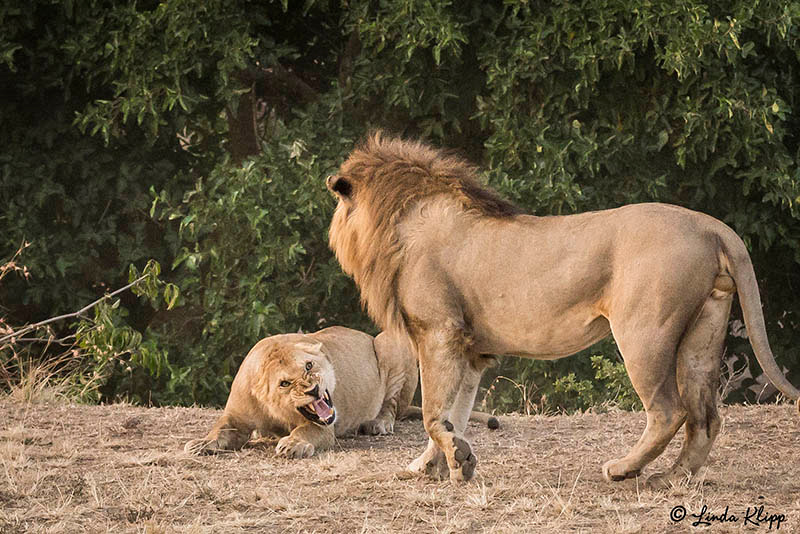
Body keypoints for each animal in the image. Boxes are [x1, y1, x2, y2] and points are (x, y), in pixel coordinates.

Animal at [184, 326, 496, 460]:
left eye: (309, 366)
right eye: (285, 383)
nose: (312, 390)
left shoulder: (322, 428)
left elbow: (306, 431)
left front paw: (292, 444)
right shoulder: (236, 416)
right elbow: (220, 430)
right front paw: (201, 444)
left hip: (391, 342)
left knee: (392, 406)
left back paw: (377, 423)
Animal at [326, 132, 800, 488]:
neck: (401, 225)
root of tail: (711, 225)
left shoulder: (439, 332)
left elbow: (431, 413)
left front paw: (453, 461)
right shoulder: (469, 349)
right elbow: (455, 413)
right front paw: (437, 465)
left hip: (643, 333)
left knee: (670, 411)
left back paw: (623, 469)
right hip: (703, 331)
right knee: (705, 417)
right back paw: (671, 478)